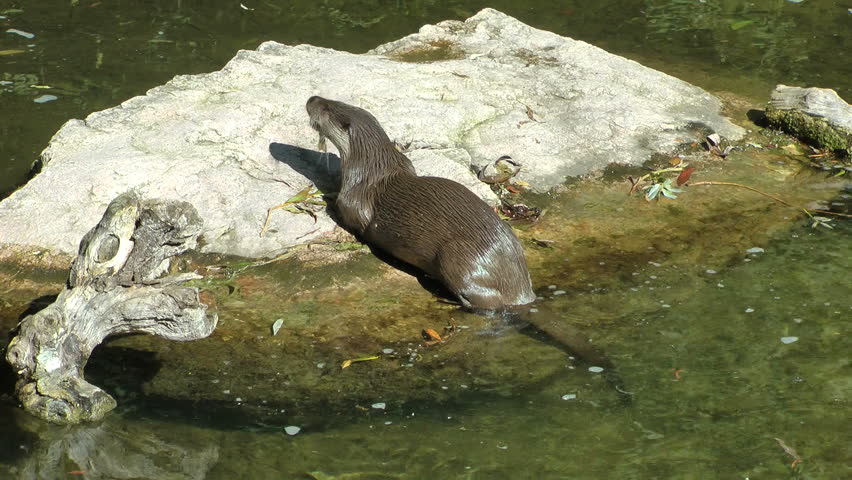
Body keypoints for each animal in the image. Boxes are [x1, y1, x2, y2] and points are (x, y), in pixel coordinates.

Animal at [305, 96, 617, 373]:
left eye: (325, 108)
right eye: (331, 99)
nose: (311, 98)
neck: (371, 168)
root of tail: (520, 290)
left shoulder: (356, 200)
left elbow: (348, 215)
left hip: (456, 258)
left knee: (489, 304)